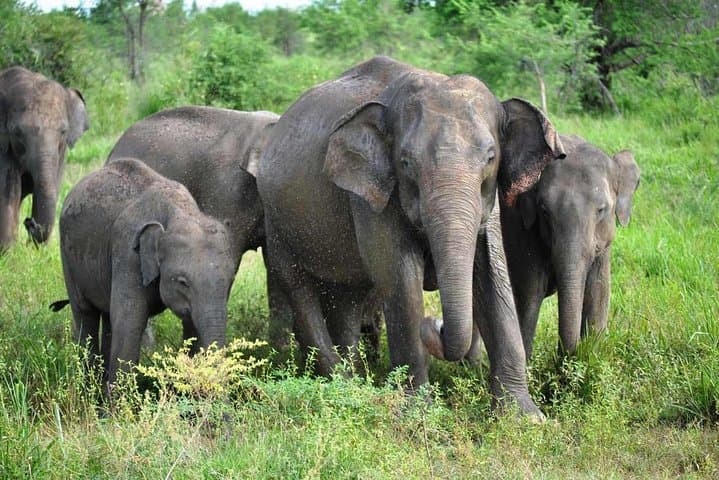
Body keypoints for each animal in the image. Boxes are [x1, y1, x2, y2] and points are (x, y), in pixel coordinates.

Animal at [0, 66, 89, 250]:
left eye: (63, 131)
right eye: (17, 132)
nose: (29, 222)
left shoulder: (61, 153)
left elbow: (53, 185)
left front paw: (40, 252)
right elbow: (9, 189)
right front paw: (7, 252)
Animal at [58, 158, 237, 390]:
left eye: (230, 281)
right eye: (183, 282)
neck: (180, 211)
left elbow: (192, 326)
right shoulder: (127, 252)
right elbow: (129, 322)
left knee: (108, 317)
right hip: (68, 256)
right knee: (85, 313)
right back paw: (88, 391)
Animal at [244, 56, 564, 415]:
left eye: (491, 157)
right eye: (406, 162)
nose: (435, 323)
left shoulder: (490, 201)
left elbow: (493, 276)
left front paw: (523, 416)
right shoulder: (372, 195)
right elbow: (400, 277)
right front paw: (418, 413)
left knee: (347, 298)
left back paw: (356, 381)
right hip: (277, 219)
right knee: (298, 285)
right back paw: (344, 384)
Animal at [500, 134, 640, 357]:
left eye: (602, 209)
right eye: (544, 210)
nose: (568, 355)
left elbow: (598, 291)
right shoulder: (519, 228)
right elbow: (530, 293)